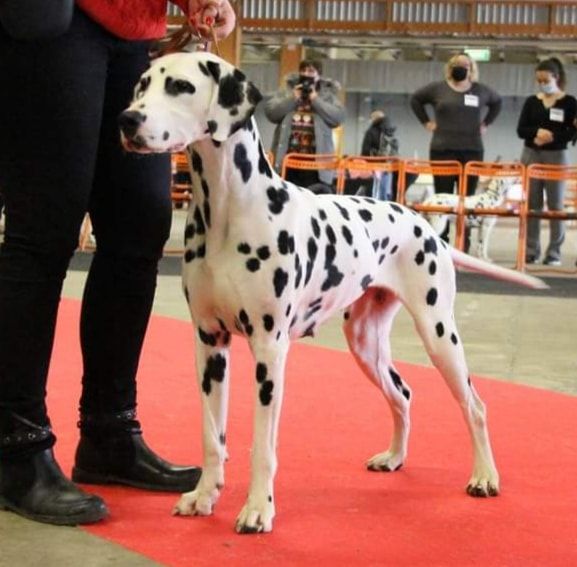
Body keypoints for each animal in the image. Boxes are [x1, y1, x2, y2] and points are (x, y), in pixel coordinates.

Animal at [118, 51, 544, 536]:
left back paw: (485, 476)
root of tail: (422, 223)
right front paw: (204, 496)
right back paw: (394, 457)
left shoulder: (269, 350)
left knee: (475, 405)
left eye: (181, 87)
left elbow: (262, 444)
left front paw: (258, 509)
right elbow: (212, 435)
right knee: (402, 394)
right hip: (365, 343)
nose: (127, 119)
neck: (226, 209)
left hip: (440, 335)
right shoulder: (210, 344)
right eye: (142, 86)